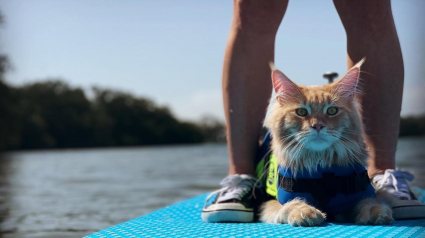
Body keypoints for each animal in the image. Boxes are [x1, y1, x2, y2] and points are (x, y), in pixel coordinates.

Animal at [258, 59, 394, 227]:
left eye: (332, 111)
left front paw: (375, 211)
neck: (320, 164)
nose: (317, 126)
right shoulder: (270, 203)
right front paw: (305, 212)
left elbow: (368, 201)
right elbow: (291, 204)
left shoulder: (364, 192)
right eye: (301, 112)